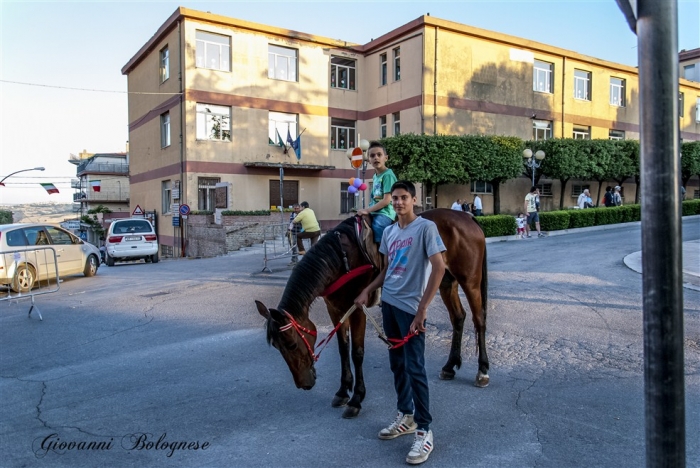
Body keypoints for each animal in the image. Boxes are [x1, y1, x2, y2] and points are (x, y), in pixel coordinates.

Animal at [254, 208, 490, 420]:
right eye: (277, 347)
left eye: (292, 344)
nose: (303, 384)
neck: (341, 257)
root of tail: (466, 217)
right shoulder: (335, 308)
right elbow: (343, 349)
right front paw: (343, 391)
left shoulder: (358, 308)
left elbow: (357, 352)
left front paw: (356, 399)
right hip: (445, 281)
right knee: (458, 317)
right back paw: (450, 366)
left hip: (470, 281)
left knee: (479, 320)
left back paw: (482, 370)